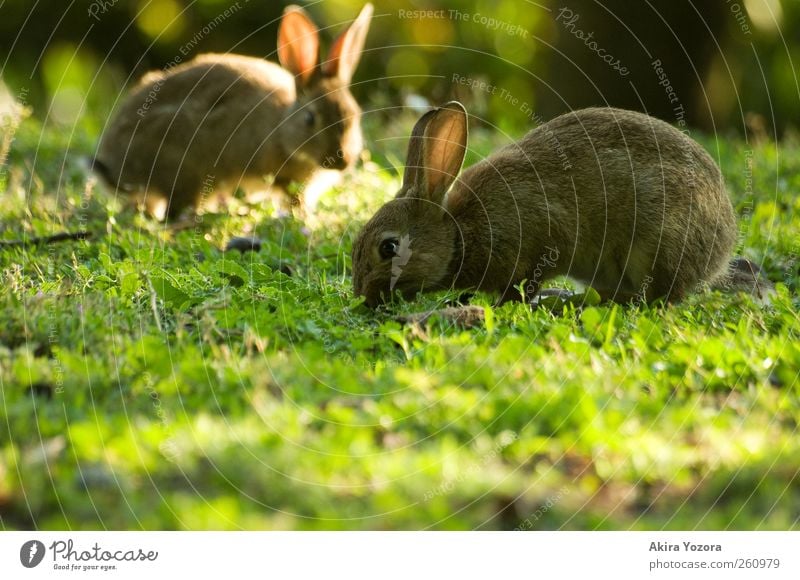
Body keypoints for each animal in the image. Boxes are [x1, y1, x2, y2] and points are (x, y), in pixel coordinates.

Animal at [93, 3, 372, 220]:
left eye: (355, 115)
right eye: (310, 118)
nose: (343, 161)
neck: (281, 130)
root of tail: (116, 166)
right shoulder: (282, 178)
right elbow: (293, 201)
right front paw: (305, 220)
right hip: (183, 168)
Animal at [354, 101, 772, 308]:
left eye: (388, 247)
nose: (362, 295)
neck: (458, 232)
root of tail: (721, 249)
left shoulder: (541, 241)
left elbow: (525, 283)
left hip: (658, 243)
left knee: (662, 297)